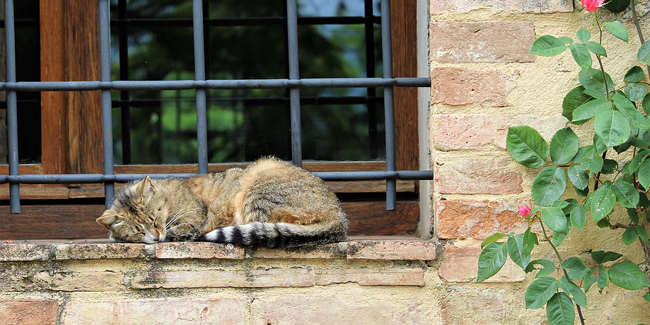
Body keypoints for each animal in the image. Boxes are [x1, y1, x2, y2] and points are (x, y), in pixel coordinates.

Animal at [95, 156, 346, 246]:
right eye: (138, 230)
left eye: (155, 218)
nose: (156, 235)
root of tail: (338, 215)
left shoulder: (195, 221)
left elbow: (181, 231)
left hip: (259, 181)